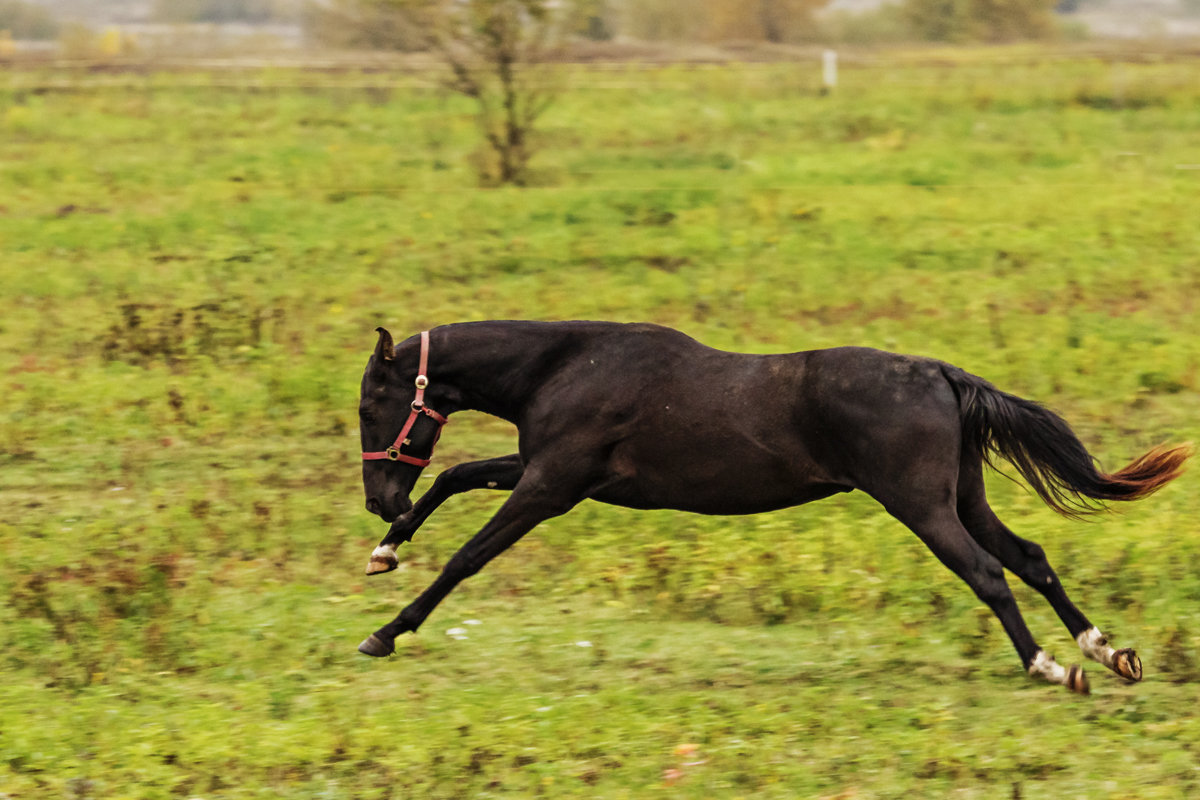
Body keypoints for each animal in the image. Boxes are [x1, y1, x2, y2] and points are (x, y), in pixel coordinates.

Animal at [355, 321, 1190, 690]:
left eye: (371, 404)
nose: (375, 497)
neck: (564, 366)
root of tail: (941, 374)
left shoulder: (550, 485)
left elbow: (468, 555)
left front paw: (385, 632)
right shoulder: (546, 471)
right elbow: (457, 474)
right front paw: (386, 549)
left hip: (922, 506)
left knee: (988, 573)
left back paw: (1051, 665)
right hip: (963, 498)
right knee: (1031, 559)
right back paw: (1106, 651)